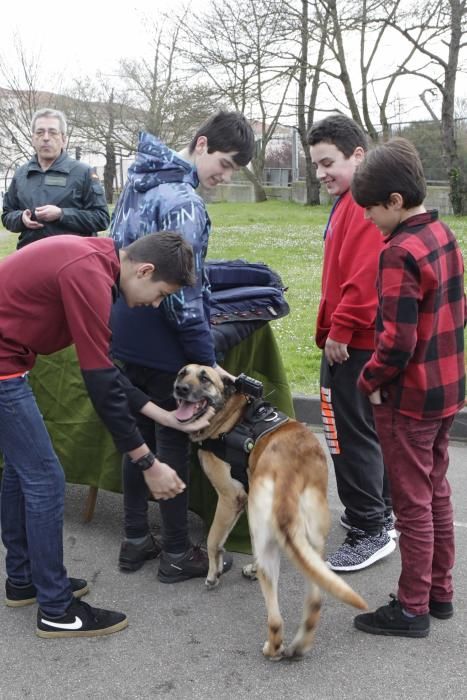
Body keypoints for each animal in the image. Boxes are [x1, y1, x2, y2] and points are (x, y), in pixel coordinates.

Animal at [174, 366, 368, 660]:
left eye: (204, 378)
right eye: (182, 373)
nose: (180, 389)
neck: (231, 415)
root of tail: (290, 475)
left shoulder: (229, 499)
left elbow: (213, 540)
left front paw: (213, 573)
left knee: (276, 619)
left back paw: (273, 647)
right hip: (311, 547)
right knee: (314, 601)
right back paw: (299, 645)